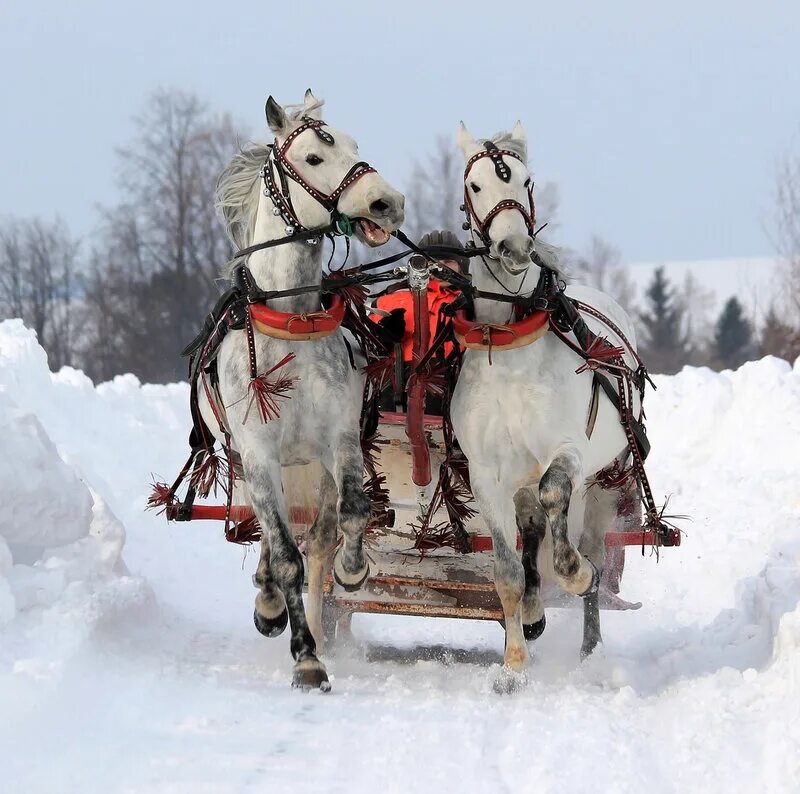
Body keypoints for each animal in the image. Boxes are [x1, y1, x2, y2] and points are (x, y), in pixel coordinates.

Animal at [206, 91, 406, 688]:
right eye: (315, 158)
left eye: (356, 145)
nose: (386, 202)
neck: (291, 322)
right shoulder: (258, 450)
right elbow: (282, 554)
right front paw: (306, 655)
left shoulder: (338, 438)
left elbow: (353, 512)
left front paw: (353, 570)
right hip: (252, 461)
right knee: (272, 537)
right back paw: (271, 605)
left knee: (315, 536)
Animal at [454, 120, 640, 684]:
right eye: (475, 186)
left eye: (525, 180)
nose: (515, 246)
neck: (509, 345)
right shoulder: (485, 475)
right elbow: (508, 571)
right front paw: (513, 664)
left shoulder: (568, 451)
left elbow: (557, 494)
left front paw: (575, 574)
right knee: (532, 528)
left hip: (607, 481)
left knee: (590, 544)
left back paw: (590, 644)